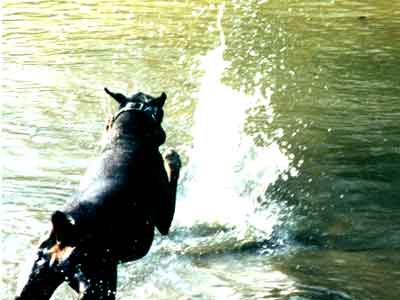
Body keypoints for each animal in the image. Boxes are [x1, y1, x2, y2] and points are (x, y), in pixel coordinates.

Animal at [15, 88, 181, 298]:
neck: (127, 137)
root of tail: (64, 232)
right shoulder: (164, 216)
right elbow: (174, 174)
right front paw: (172, 156)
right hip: (99, 282)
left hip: (33, 281)